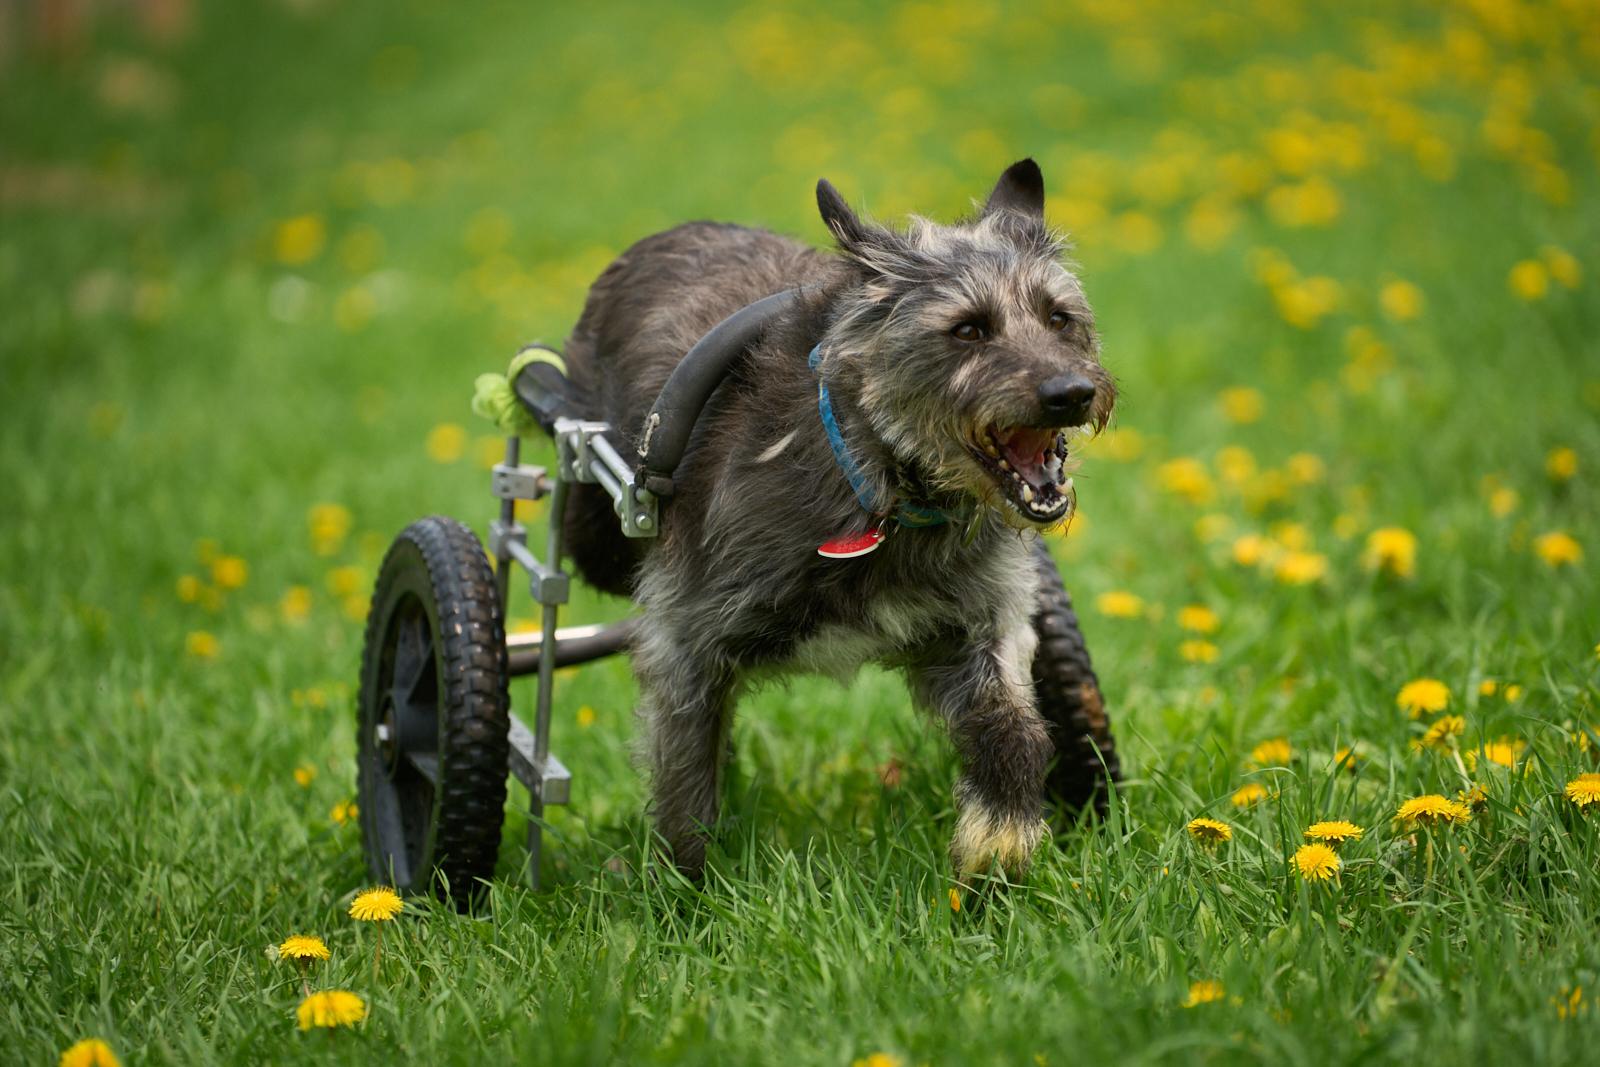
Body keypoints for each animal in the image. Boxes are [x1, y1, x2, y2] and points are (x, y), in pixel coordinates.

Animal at [560, 156, 1113, 876]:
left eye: (1057, 317)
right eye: (968, 328)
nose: (1072, 392)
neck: (878, 489)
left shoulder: (983, 625)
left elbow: (1013, 725)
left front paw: (1001, 840)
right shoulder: (686, 644)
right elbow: (686, 780)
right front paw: (690, 887)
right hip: (593, 530)